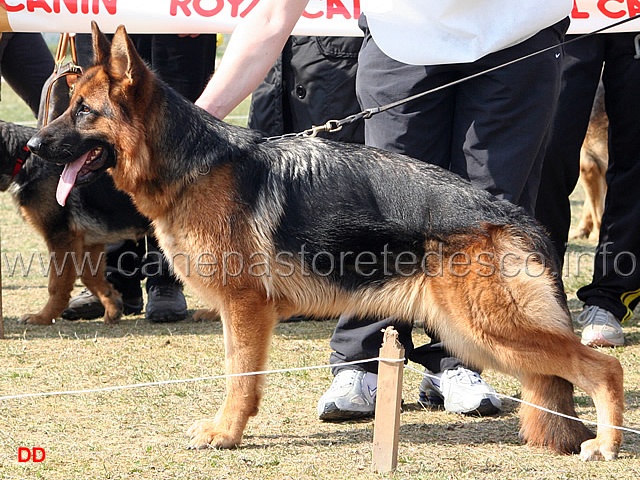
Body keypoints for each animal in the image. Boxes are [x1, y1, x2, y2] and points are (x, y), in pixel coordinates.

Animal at [0, 118, 150, 324]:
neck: (22, 158)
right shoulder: (90, 241)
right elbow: (91, 277)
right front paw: (113, 306)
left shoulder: (60, 237)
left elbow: (57, 284)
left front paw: (44, 317)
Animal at [27, 23, 624, 462]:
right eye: (67, 104)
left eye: (84, 112)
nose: (32, 145)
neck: (192, 165)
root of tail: (513, 217)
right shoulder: (239, 313)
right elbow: (239, 374)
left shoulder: (245, 308)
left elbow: (239, 377)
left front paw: (226, 434)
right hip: (475, 334)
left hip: (491, 329)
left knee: (605, 368)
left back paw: (606, 443)